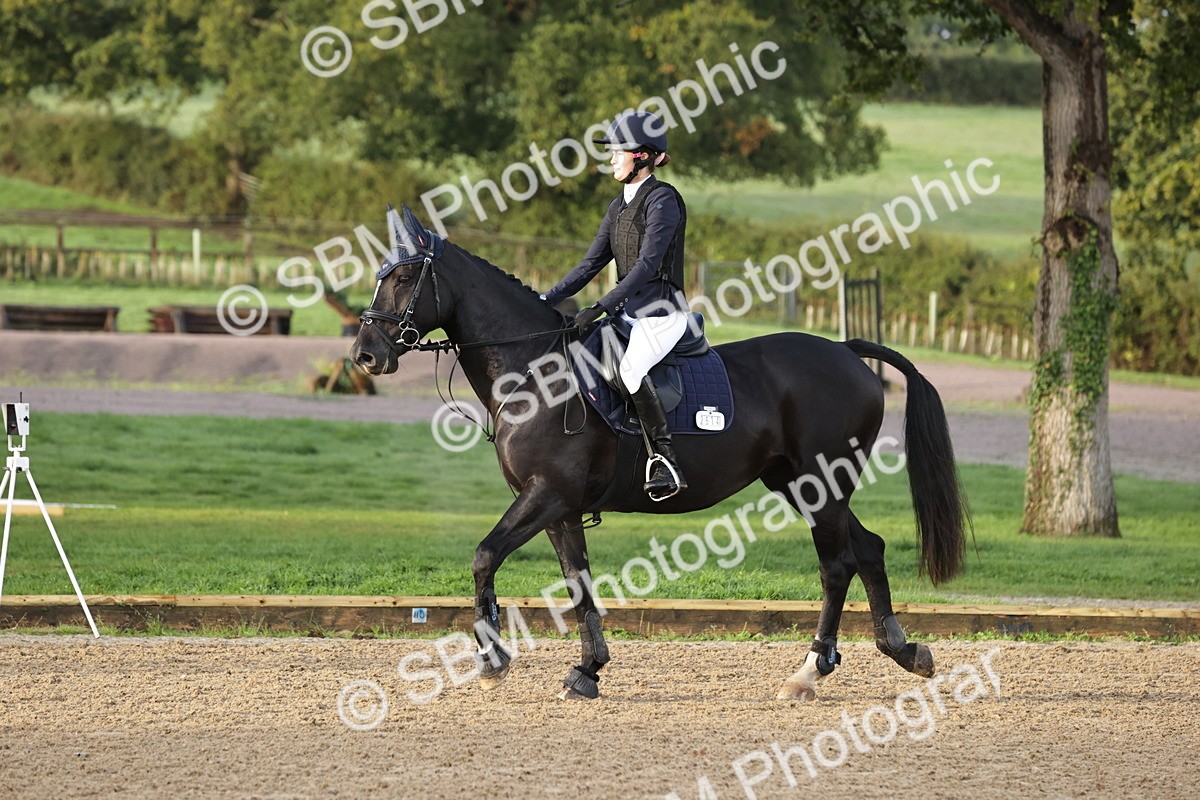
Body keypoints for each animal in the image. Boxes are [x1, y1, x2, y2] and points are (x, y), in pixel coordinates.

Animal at [351, 206, 969, 701]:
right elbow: (578, 581)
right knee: (868, 549)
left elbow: (485, 555)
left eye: (403, 276)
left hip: (821, 485)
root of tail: (845, 351)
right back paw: (902, 649)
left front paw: (494, 658)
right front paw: (588, 671)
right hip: (801, 484)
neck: (533, 371)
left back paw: (810, 671)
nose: (365, 354)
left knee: (837, 564)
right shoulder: (559, 507)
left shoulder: (546, 493)